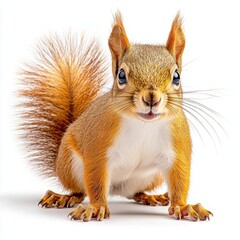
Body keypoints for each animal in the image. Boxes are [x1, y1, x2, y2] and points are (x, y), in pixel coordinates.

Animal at [19, 11, 214, 221]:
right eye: (121, 75)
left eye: (176, 77)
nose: (151, 98)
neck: (143, 124)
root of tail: (116, 189)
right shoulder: (97, 147)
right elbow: (95, 182)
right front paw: (96, 208)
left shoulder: (177, 147)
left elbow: (180, 180)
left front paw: (183, 207)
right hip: (70, 165)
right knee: (81, 190)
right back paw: (64, 197)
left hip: (151, 177)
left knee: (134, 193)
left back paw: (151, 197)